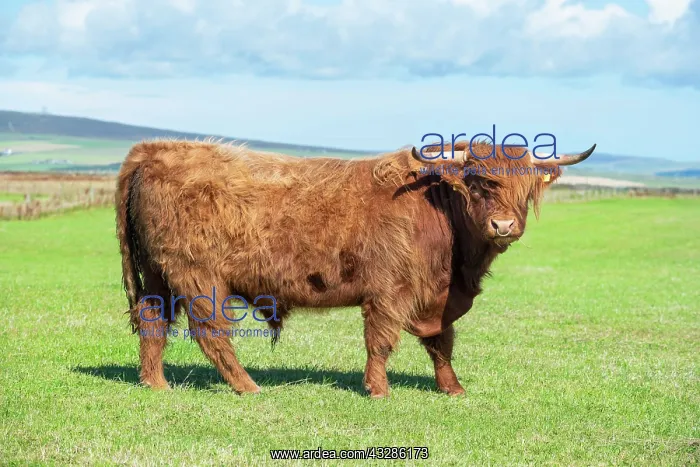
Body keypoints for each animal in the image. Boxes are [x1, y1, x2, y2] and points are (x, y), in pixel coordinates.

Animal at [115, 139, 595, 398]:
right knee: (210, 332)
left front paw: (452, 388)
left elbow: (442, 343)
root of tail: (152, 150)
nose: (504, 226)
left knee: (153, 322)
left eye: (525, 187)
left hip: (157, 276)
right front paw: (379, 390)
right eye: (478, 183)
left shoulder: (437, 297)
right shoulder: (388, 291)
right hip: (197, 276)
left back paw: (155, 383)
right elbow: (380, 342)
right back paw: (247, 386)